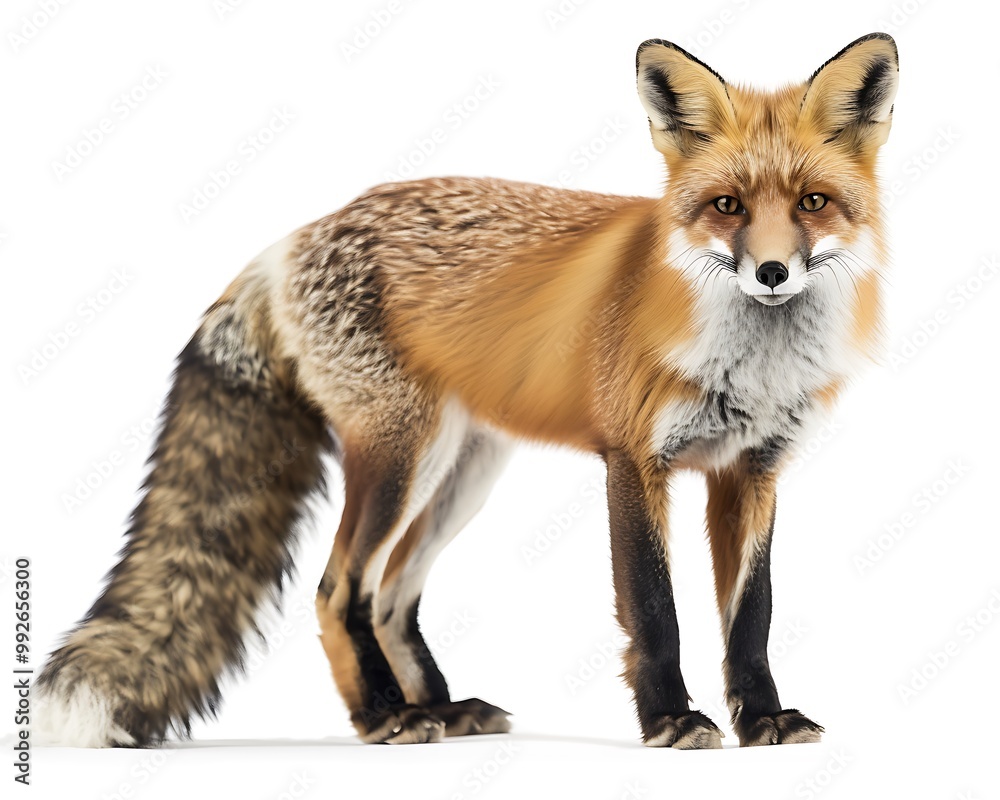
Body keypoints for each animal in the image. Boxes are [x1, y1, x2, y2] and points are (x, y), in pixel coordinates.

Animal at [35, 32, 898, 749]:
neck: (749, 362)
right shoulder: (633, 461)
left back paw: (441, 708)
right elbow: (656, 611)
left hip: (462, 474)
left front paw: (763, 720)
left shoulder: (753, 471)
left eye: (813, 203)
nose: (772, 273)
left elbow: (752, 618)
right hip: (401, 458)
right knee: (338, 590)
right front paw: (671, 721)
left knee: (389, 596)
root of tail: (290, 239)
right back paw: (383, 718)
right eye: (727, 207)